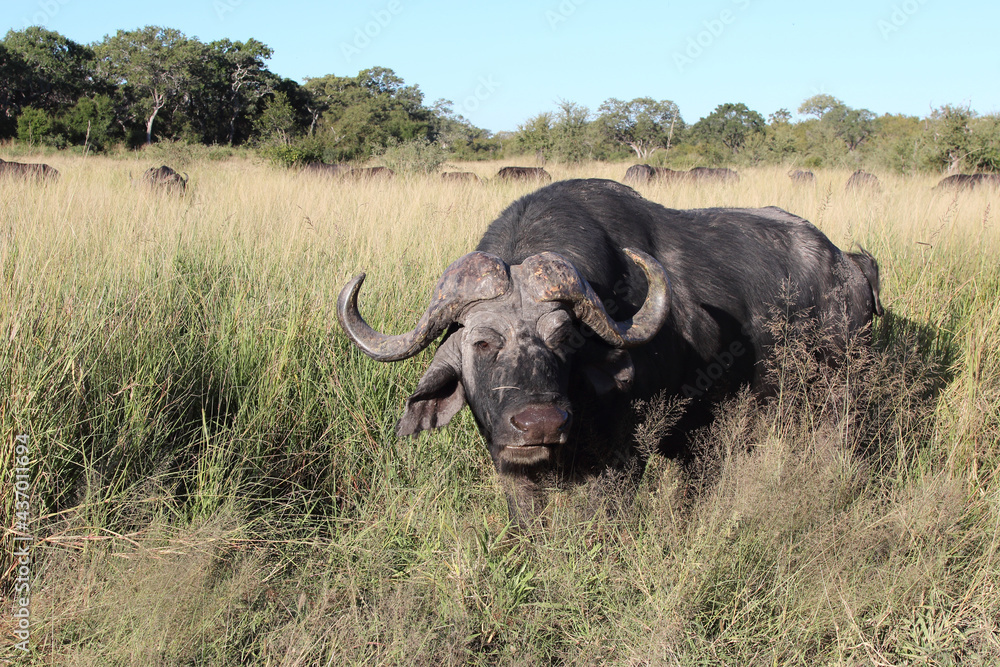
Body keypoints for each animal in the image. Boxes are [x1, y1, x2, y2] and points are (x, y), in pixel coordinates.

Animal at [338, 180, 884, 524]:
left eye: (565, 338)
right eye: (483, 341)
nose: (540, 423)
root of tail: (848, 267)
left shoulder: (624, 459)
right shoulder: (509, 463)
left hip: (835, 398)